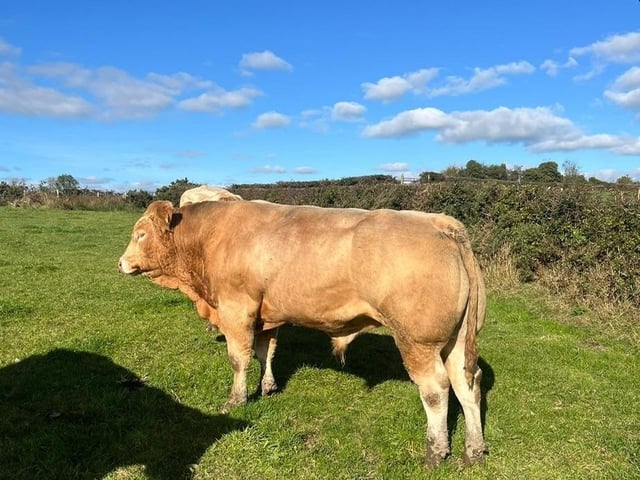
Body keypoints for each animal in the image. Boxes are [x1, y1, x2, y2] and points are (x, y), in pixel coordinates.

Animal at [118, 199, 487, 467]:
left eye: (140, 234)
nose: (120, 263)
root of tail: (440, 223)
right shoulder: (266, 316)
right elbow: (265, 352)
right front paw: (267, 387)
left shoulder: (237, 310)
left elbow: (239, 358)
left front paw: (236, 400)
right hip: (454, 341)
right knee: (467, 384)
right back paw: (474, 450)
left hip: (417, 340)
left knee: (436, 390)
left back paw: (436, 452)